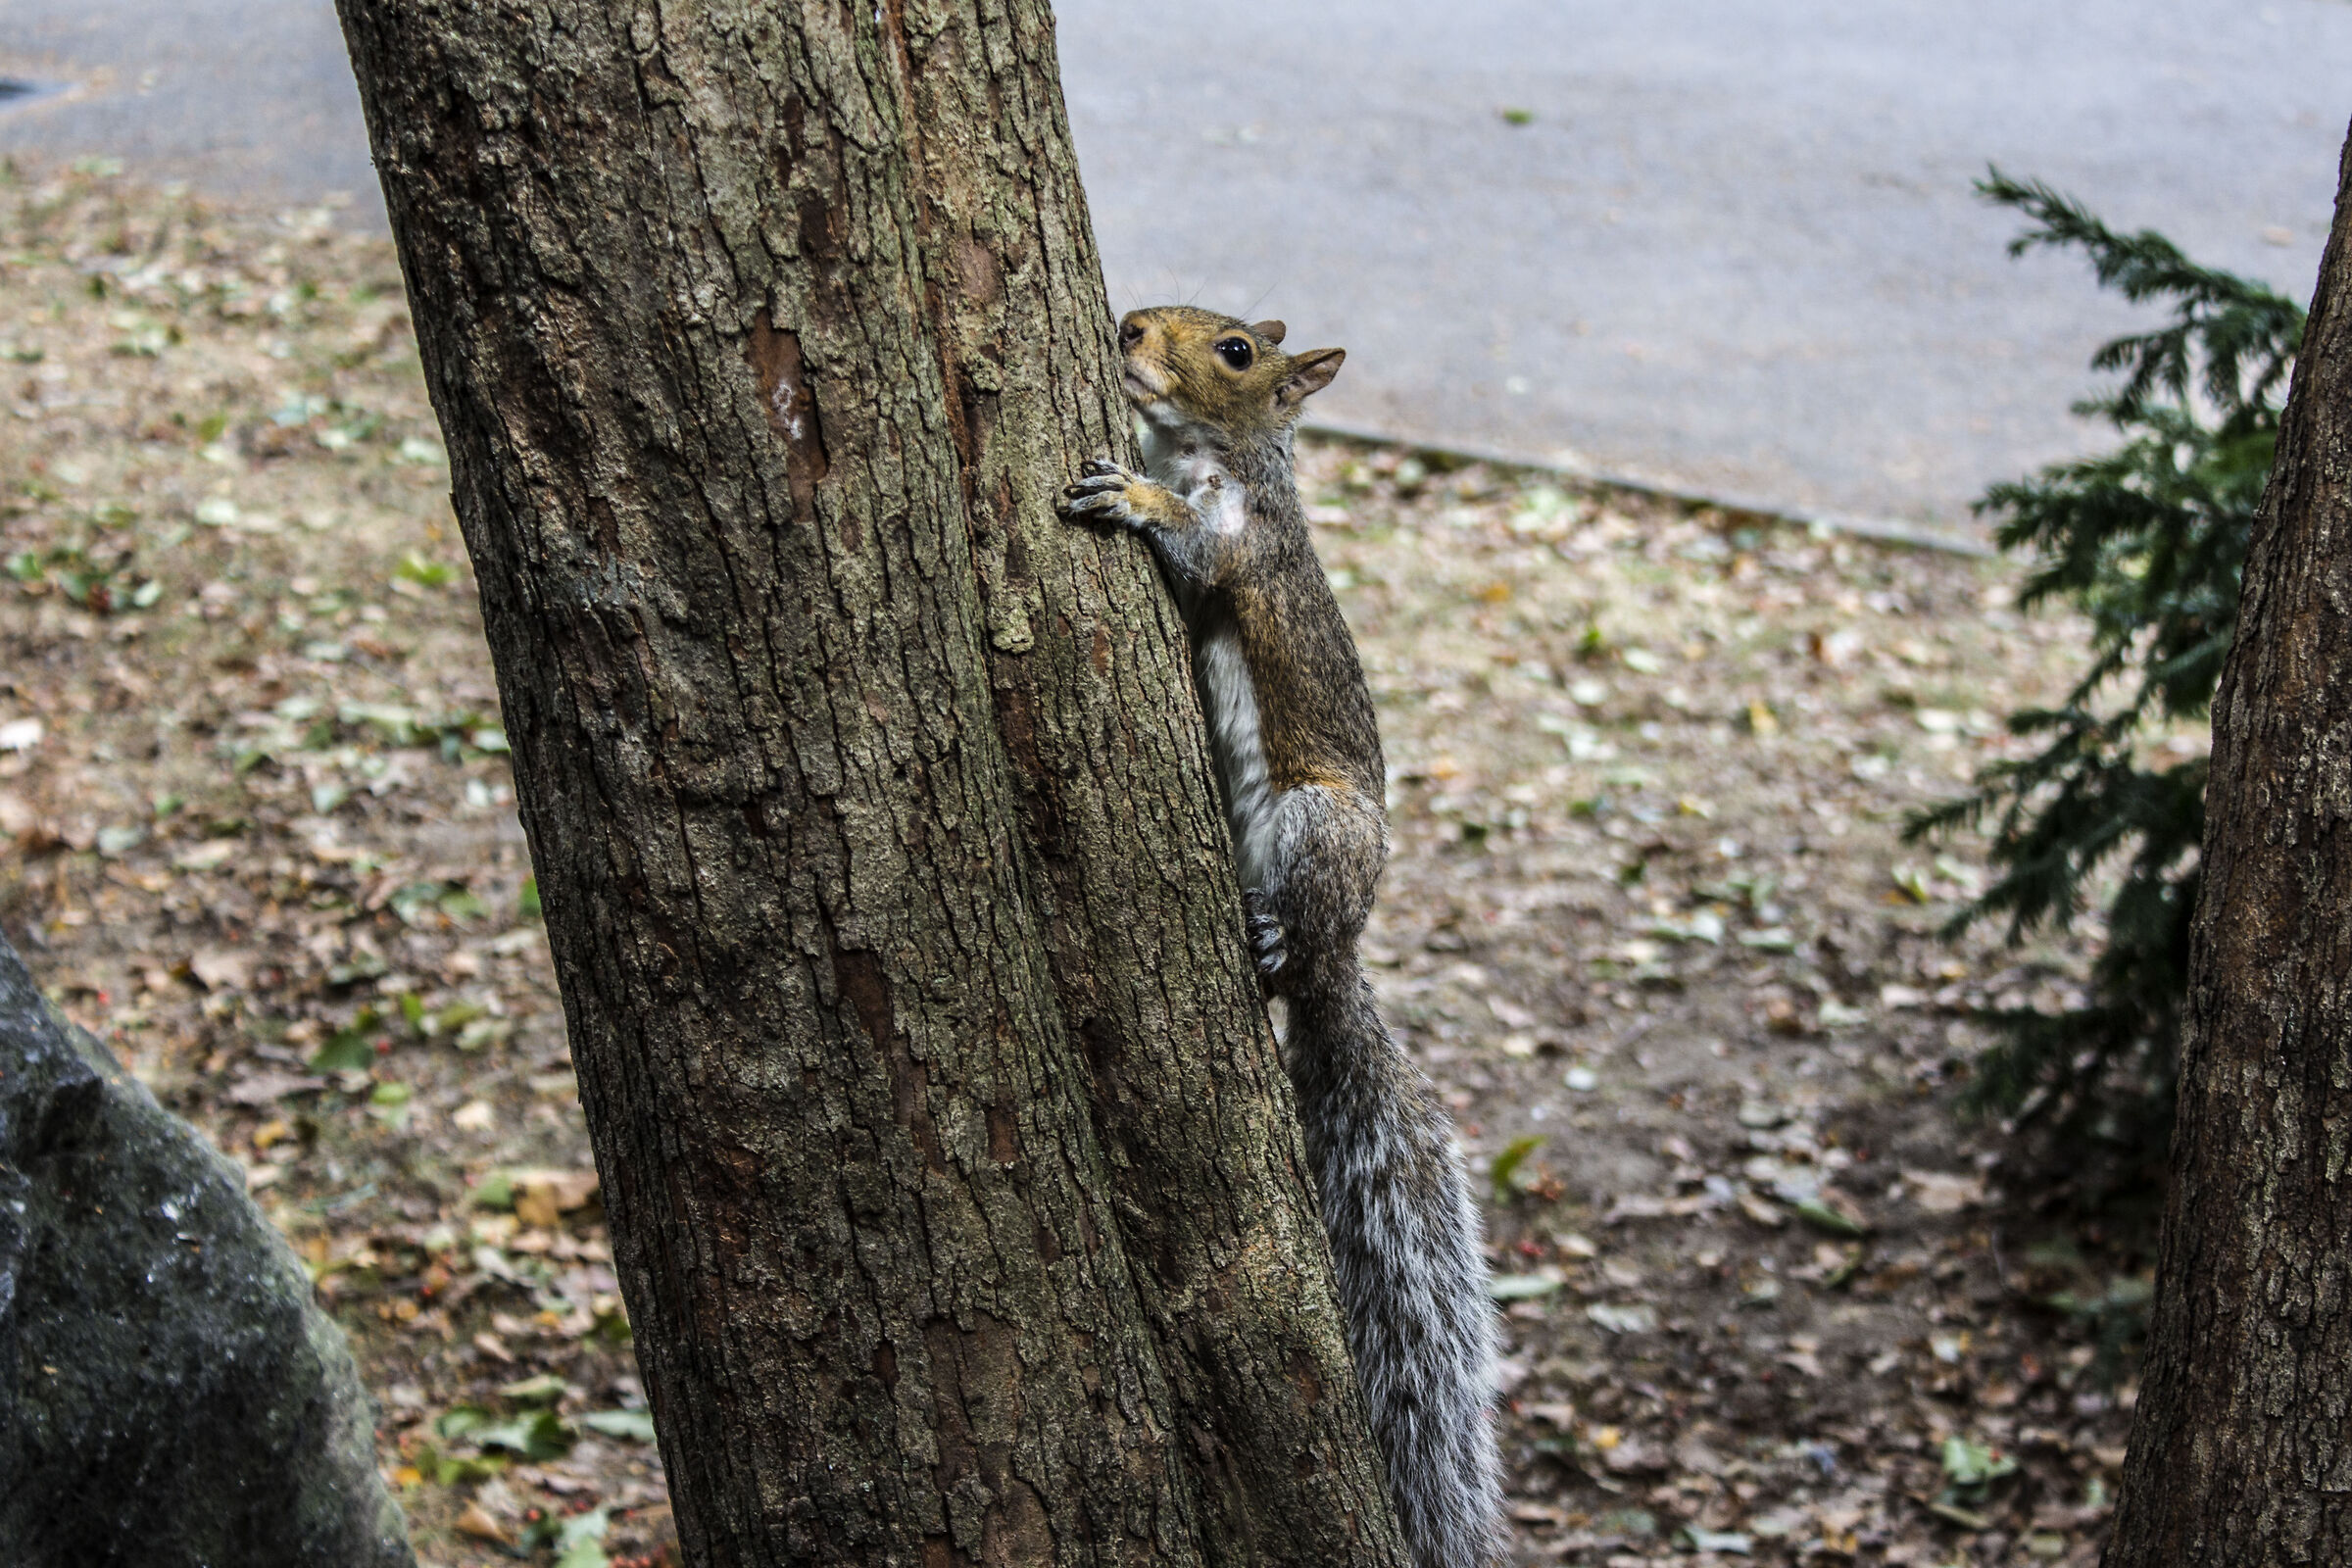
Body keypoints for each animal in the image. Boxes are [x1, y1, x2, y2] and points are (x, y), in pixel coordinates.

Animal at [1060, 306, 1504, 1568]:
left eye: (1239, 352)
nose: (1129, 325)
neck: (1213, 451)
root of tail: (1343, 949)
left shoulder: (1243, 540)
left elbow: (1201, 550)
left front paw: (1132, 497)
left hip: (1315, 826)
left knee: (1299, 937)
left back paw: (1272, 942)